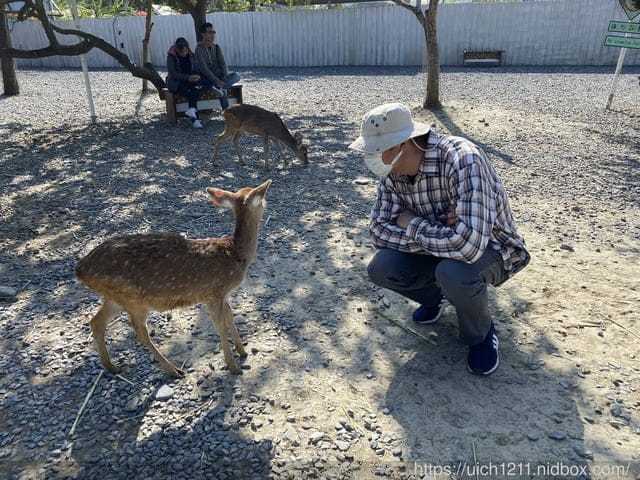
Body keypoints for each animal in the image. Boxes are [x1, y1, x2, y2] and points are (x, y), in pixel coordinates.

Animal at [75, 179, 272, 378]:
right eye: (263, 199)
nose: (267, 201)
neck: (235, 255)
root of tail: (80, 270)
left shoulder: (223, 295)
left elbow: (230, 315)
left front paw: (242, 351)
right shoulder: (212, 293)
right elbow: (220, 325)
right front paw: (233, 366)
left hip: (115, 297)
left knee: (96, 322)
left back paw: (111, 366)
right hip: (133, 299)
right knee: (140, 330)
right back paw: (173, 369)